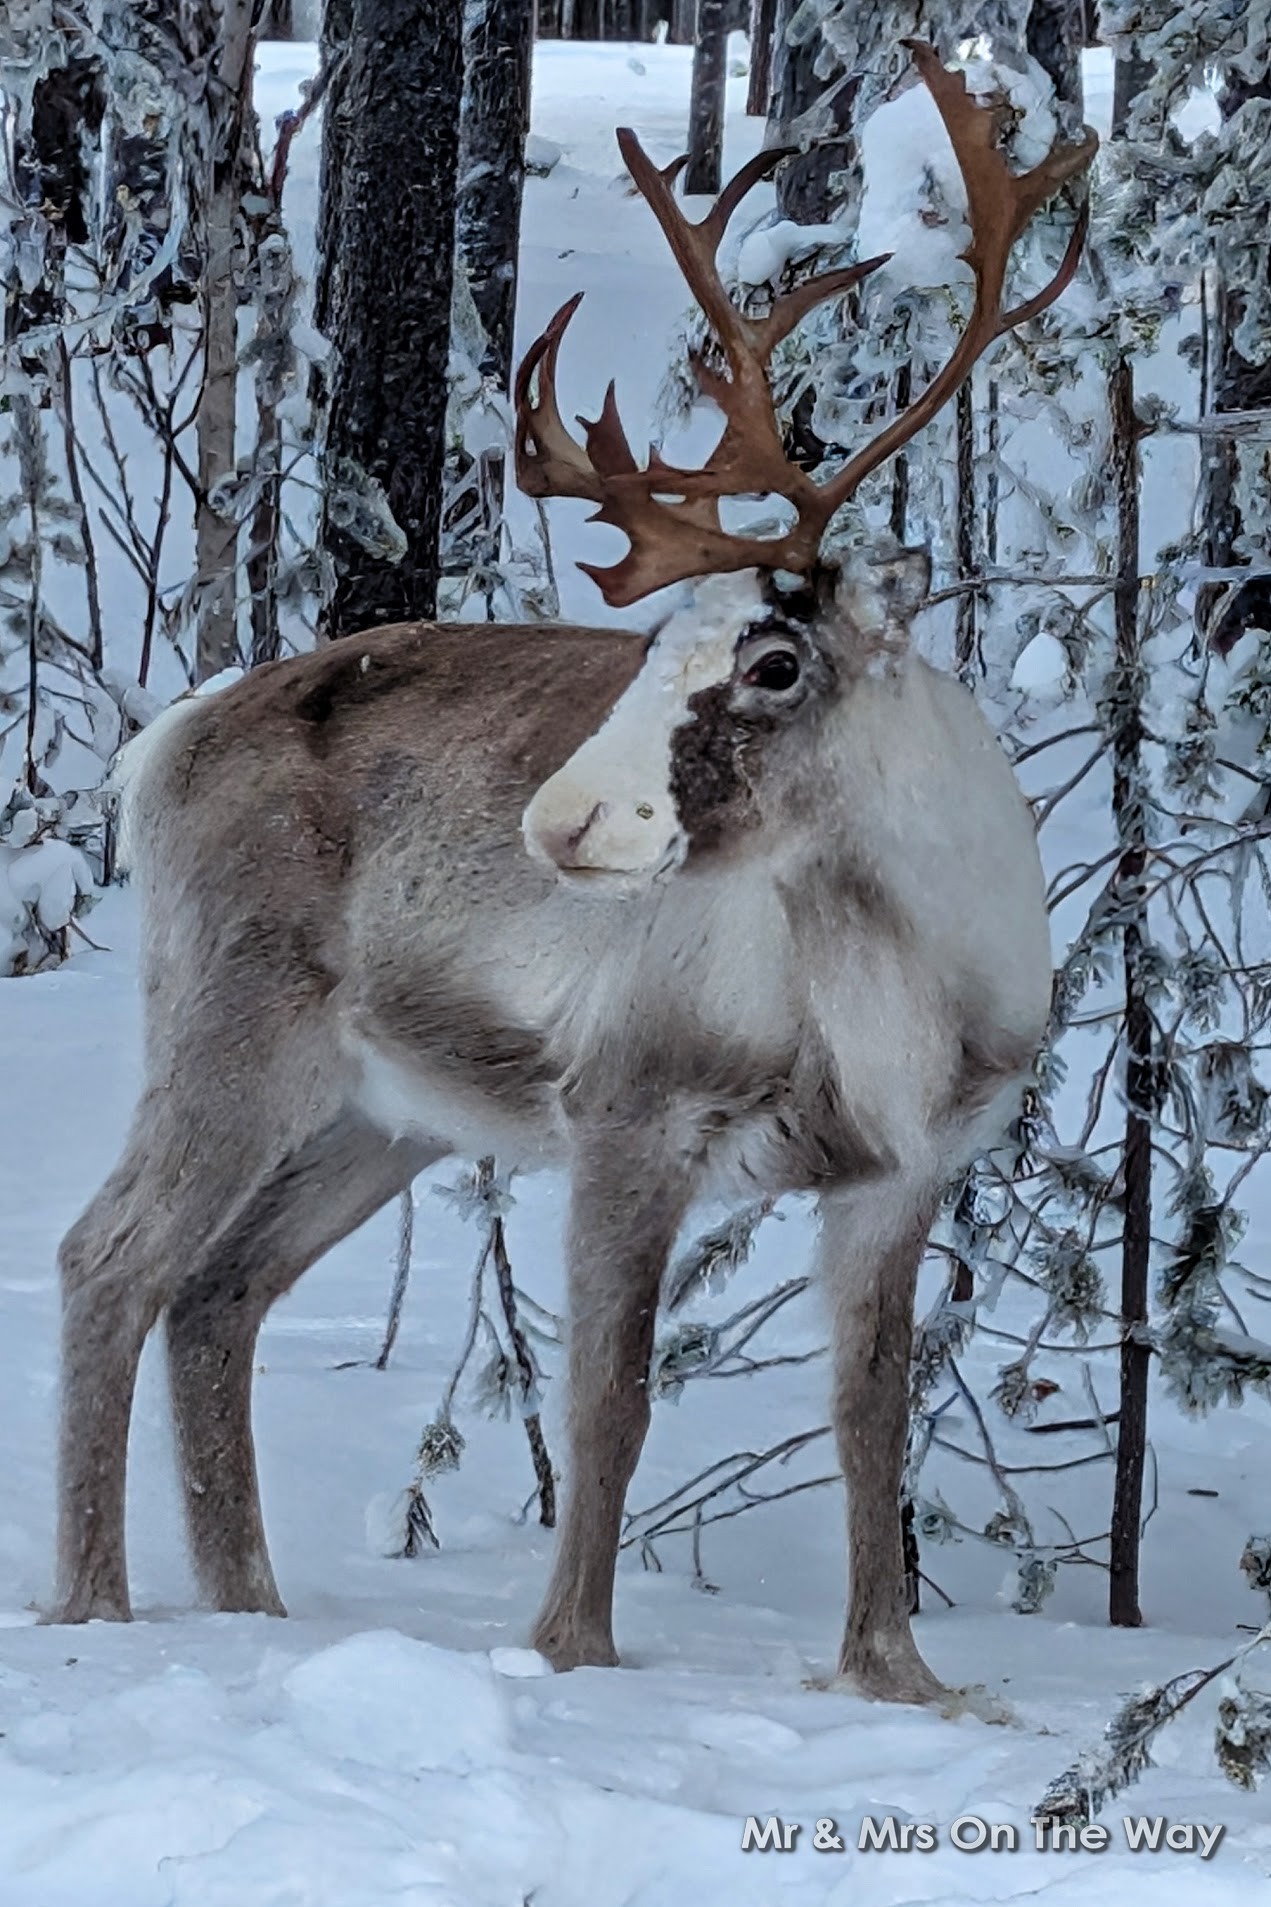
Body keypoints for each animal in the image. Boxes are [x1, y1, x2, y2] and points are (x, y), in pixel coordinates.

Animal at [49, 43, 1095, 1706]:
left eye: (773, 657)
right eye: (650, 644)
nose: (558, 821)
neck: (903, 982)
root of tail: (163, 743)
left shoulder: (907, 1164)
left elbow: (873, 1417)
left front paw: (898, 1675)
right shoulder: (626, 1103)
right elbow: (608, 1395)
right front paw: (571, 1651)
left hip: (380, 1112)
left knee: (218, 1292)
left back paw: (250, 1610)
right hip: (233, 1025)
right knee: (109, 1256)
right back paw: (98, 1608)